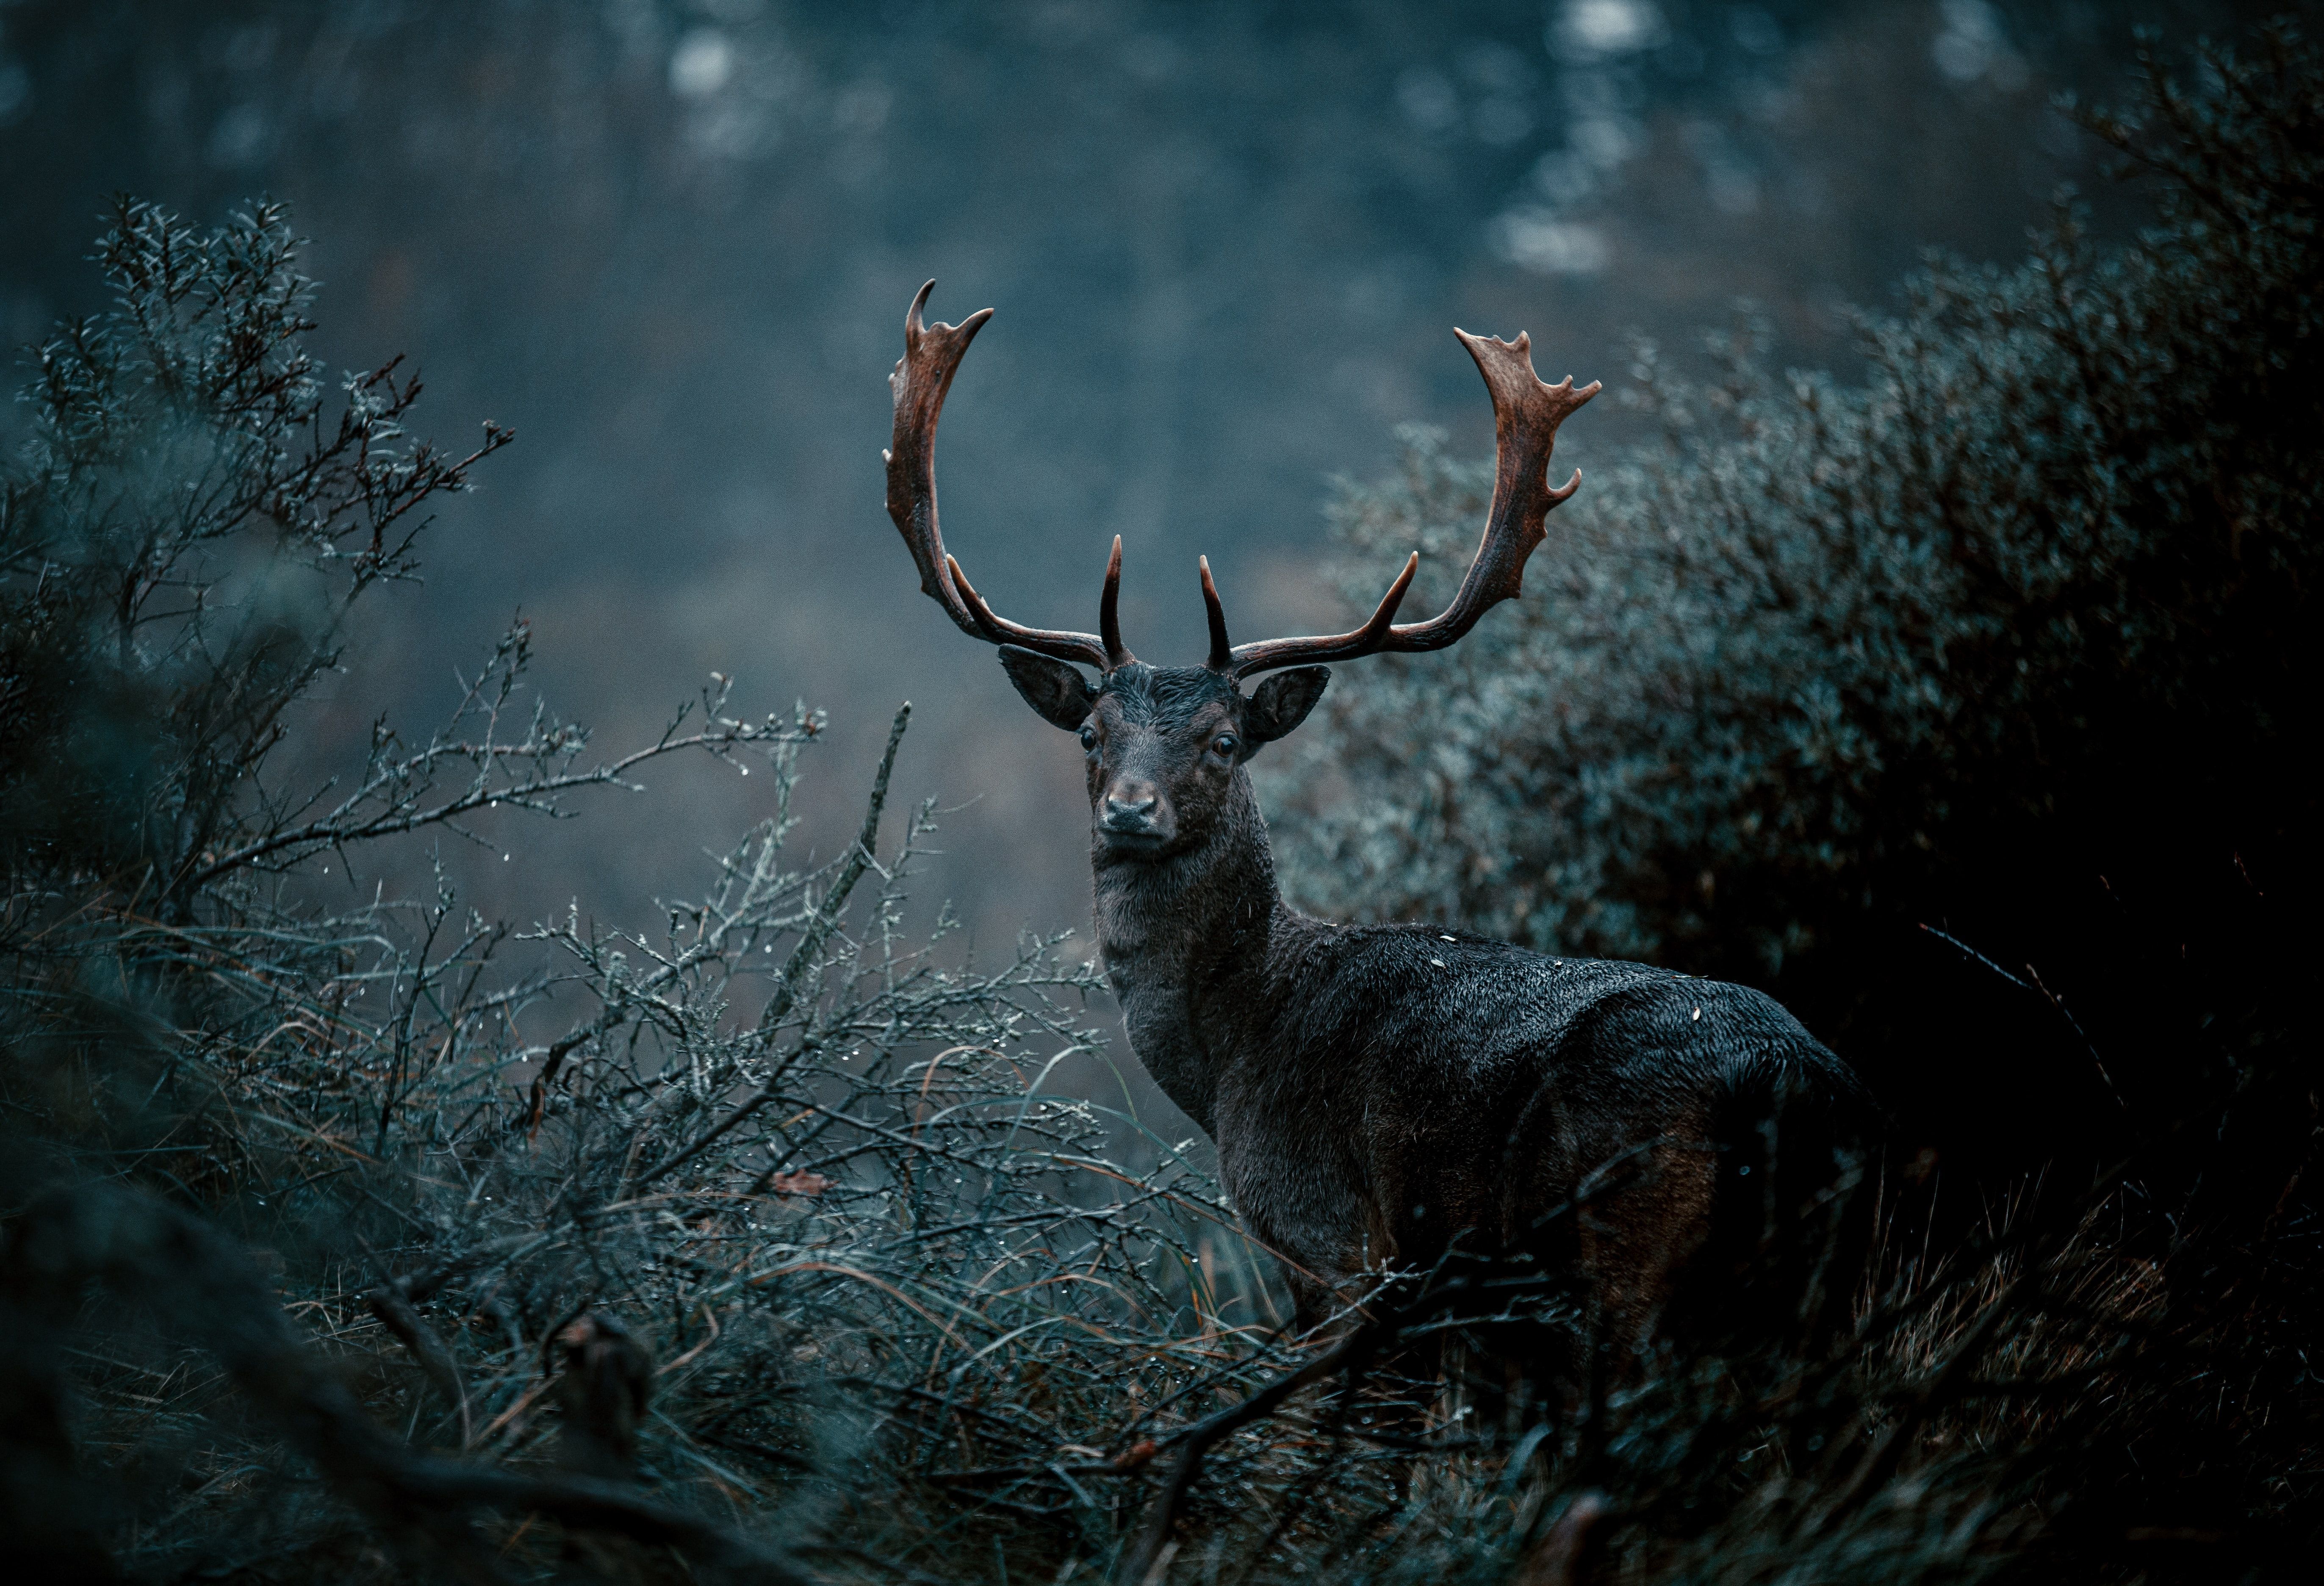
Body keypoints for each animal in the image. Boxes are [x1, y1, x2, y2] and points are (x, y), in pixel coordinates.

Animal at [874, 281, 1868, 1358]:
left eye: (1225, 740)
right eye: (1091, 733)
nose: (1131, 808)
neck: (1230, 1060)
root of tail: (1788, 1084)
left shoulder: (1333, 1239)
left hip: (1622, 1247)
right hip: (1822, 1275)